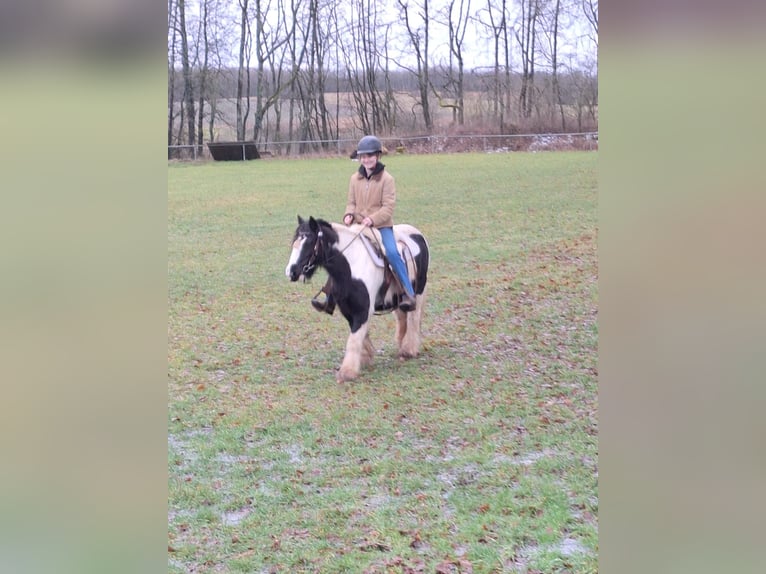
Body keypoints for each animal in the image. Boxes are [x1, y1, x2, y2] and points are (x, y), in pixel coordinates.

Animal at [285, 216, 429, 382]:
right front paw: (365, 358)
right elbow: (360, 335)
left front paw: (347, 372)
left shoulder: (363, 310)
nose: (291, 272)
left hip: (418, 293)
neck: (352, 266)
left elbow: (354, 339)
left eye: (309, 241)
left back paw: (409, 350)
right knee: (402, 319)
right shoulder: (348, 309)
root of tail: (417, 233)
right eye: (295, 240)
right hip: (397, 300)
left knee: (413, 318)